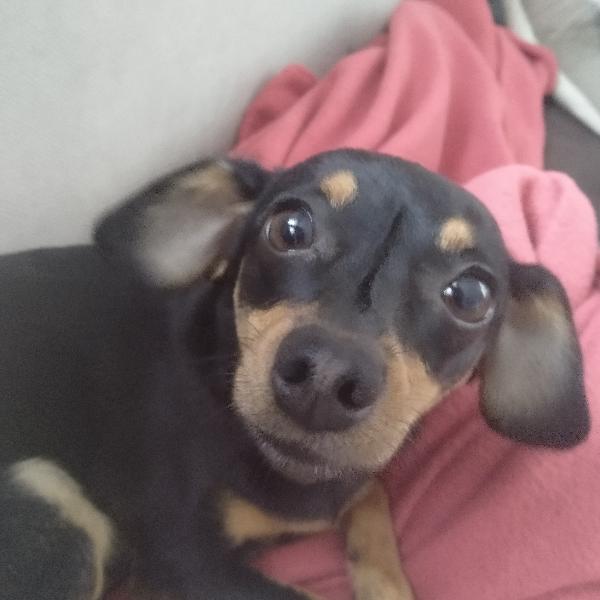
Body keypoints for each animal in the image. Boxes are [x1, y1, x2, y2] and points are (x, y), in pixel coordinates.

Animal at [0, 149, 589, 600]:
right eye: (290, 228)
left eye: (470, 295)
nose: (327, 376)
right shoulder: (183, 559)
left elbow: (371, 494)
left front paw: (384, 582)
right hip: (53, 495)